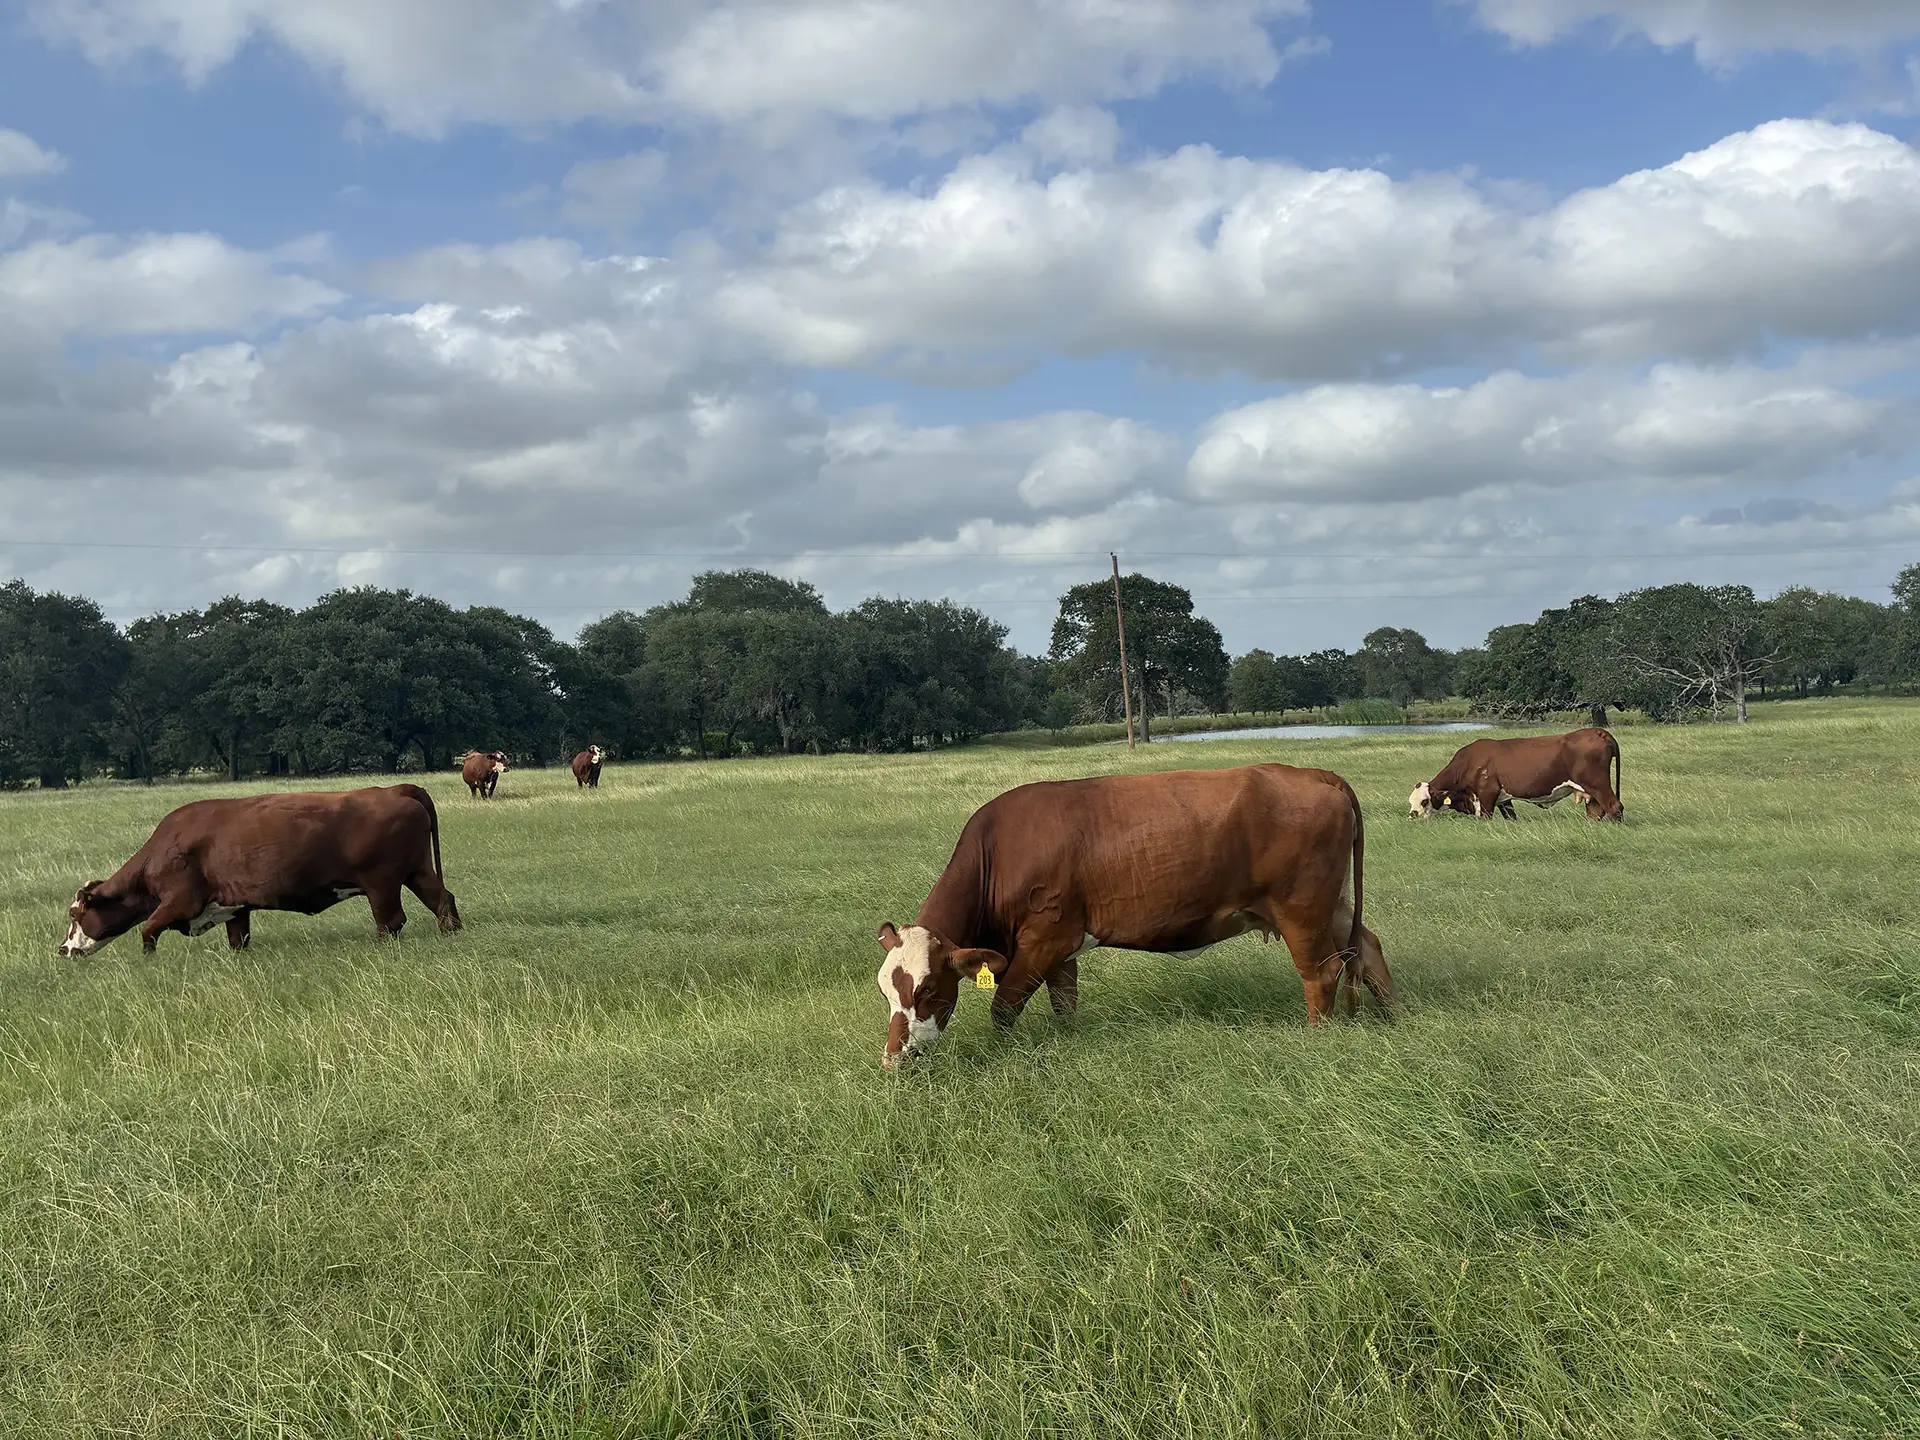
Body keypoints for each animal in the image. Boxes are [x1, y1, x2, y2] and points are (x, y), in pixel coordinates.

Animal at [58, 784, 461, 957]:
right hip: (417, 872)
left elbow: (147, 932)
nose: (63, 948)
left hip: (383, 884)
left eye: (76, 916)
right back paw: (450, 935)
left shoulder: (180, 901)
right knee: (443, 900)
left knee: (390, 922)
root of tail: (394, 789)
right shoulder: (235, 908)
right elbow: (239, 941)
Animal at [873, 763, 1399, 1069]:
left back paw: (1316, 1040)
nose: (895, 1057)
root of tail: (1314, 773)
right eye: (886, 992)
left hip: (1301, 910)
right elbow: (1065, 1004)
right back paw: (1396, 1017)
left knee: (1321, 973)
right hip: (1333, 905)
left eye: (929, 989)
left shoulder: (1043, 938)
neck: (999, 854)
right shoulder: (1062, 948)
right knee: (1368, 949)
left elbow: (1003, 1006)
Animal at [1409, 727, 1622, 822]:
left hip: (1598, 784)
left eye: (1424, 801)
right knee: (1596, 811)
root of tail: (1596, 731)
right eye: (1410, 801)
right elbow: (1511, 817)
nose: (1413, 814)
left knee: (1614, 807)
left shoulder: (1487, 794)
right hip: (1591, 792)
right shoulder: (1503, 799)